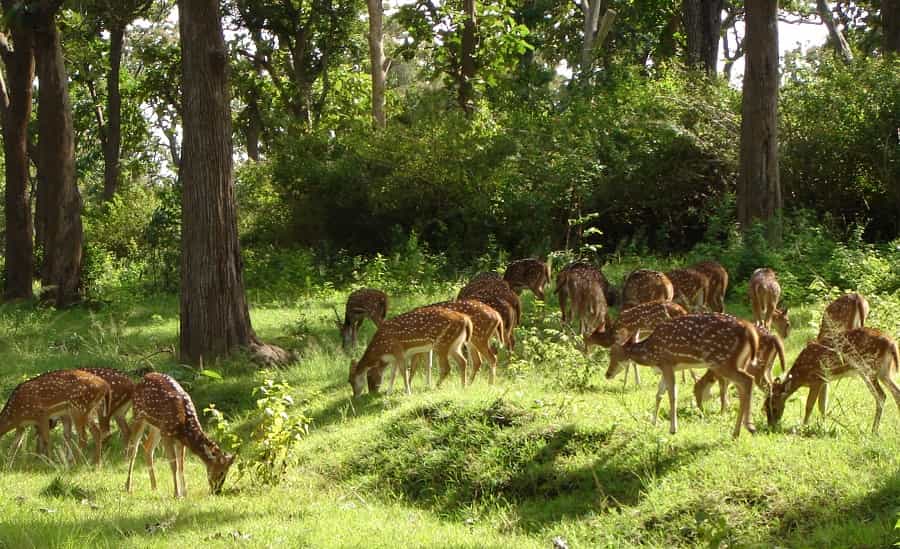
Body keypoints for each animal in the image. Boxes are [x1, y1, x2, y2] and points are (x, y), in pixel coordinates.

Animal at [604, 312, 760, 436]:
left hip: (723, 361)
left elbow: (672, 395)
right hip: (740, 362)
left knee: (748, 380)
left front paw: (673, 429)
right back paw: (739, 430)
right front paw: (653, 422)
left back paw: (748, 427)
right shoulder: (666, 368)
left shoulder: (667, 363)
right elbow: (659, 394)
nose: (607, 374)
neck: (651, 354)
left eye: (613, 353)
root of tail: (750, 330)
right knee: (742, 386)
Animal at [764, 326, 900, 432]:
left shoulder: (816, 378)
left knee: (881, 396)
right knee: (896, 392)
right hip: (884, 372)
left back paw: (874, 430)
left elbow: (809, 405)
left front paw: (803, 427)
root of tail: (892, 343)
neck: (801, 375)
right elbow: (822, 406)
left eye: (774, 407)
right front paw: (822, 427)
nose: (771, 426)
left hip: (868, 368)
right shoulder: (825, 380)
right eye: (764, 407)